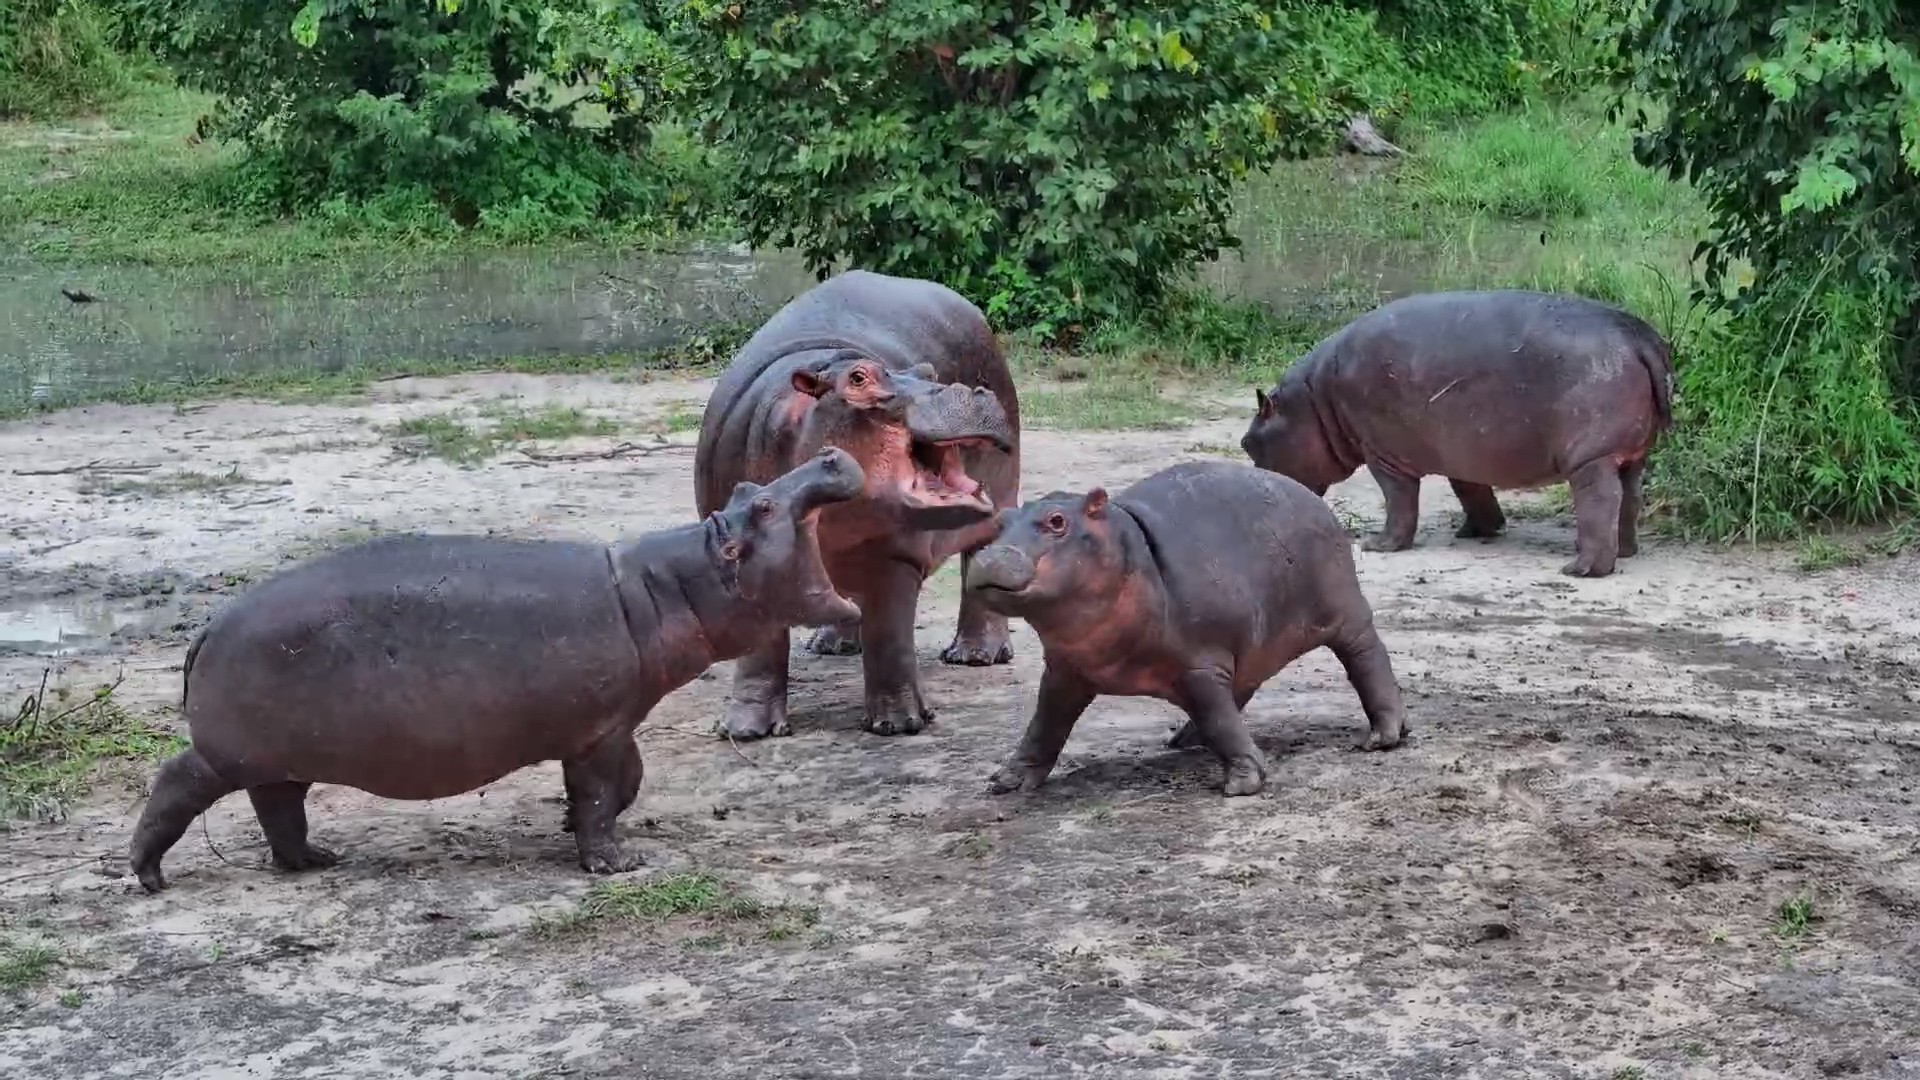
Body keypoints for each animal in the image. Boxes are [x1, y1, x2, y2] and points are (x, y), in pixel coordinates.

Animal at [128, 449, 866, 892]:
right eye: (762, 505)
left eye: (748, 488)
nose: (830, 454)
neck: (668, 588)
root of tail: (206, 629)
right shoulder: (599, 732)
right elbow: (601, 795)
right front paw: (614, 863)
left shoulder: (610, 723)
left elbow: (622, 784)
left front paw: (574, 826)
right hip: (227, 753)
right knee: (177, 782)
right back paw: (149, 875)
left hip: (279, 756)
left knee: (279, 806)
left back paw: (314, 862)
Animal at [695, 269, 1020, 739]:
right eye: (859, 378)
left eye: (927, 371)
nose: (971, 391)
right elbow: (759, 645)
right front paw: (744, 731)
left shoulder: (897, 552)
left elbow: (890, 631)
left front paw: (900, 724)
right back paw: (833, 646)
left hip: (1001, 498)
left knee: (979, 559)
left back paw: (976, 656)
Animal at [964, 461, 1407, 797]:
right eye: (1000, 521)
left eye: (1057, 521)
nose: (988, 558)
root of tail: (1310, 494)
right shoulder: (1064, 673)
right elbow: (1043, 726)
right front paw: (1006, 780)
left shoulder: (1200, 665)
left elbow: (1220, 720)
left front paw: (1242, 784)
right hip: (1253, 642)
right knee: (1242, 686)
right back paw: (1184, 739)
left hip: (1346, 613)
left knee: (1369, 660)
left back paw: (1383, 737)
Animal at [1240, 289, 1674, 577]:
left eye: (1247, 443)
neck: (1314, 399)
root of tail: (1639, 336)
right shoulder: (1462, 450)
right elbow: (1471, 491)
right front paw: (1477, 531)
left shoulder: (1384, 454)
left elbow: (1399, 502)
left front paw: (1379, 546)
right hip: (1633, 453)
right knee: (1629, 495)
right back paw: (1626, 552)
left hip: (1591, 458)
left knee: (1601, 499)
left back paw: (1580, 567)